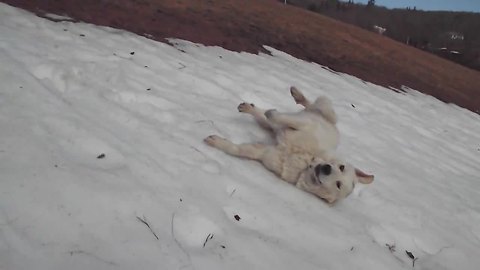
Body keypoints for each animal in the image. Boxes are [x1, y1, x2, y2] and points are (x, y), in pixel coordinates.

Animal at [204, 86, 374, 202]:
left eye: (338, 184)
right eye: (341, 167)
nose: (326, 168)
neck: (308, 161)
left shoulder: (264, 152)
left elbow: (237, 149)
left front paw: (216, 142)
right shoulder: (303, 124)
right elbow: (280, 117)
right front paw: (273, 112)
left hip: (273, 127)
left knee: (264, 118)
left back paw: (250, 108)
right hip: (325, 112)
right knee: (311, 105)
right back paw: (296, 94)